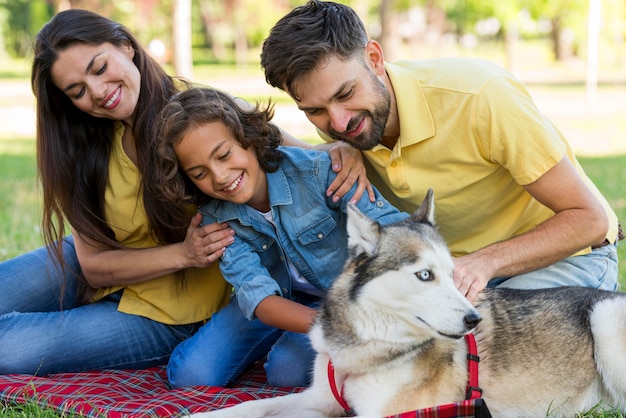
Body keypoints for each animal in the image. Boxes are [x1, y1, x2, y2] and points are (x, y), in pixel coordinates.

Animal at [189, 190, 624, 418]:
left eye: (452, 273)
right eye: (425, 275)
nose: (474, 319)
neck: (368, 346)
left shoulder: (386, 414)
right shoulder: (318, 396)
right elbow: (252, 407)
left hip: (604, 318)